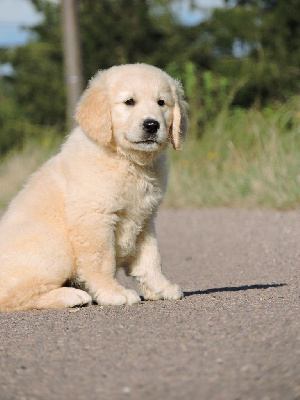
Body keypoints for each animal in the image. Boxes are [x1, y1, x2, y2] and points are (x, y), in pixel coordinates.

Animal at [0, 63, 188, 312]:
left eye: (161, 103)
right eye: (129, 102)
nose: (151, 125)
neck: (128, 162)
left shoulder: (145, 219)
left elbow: (150, 259)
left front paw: (161, 288)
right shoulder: (95, 218)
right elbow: (102, 260)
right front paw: (113, 293)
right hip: (56, 246)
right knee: (12, 297)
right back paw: (71, 296)